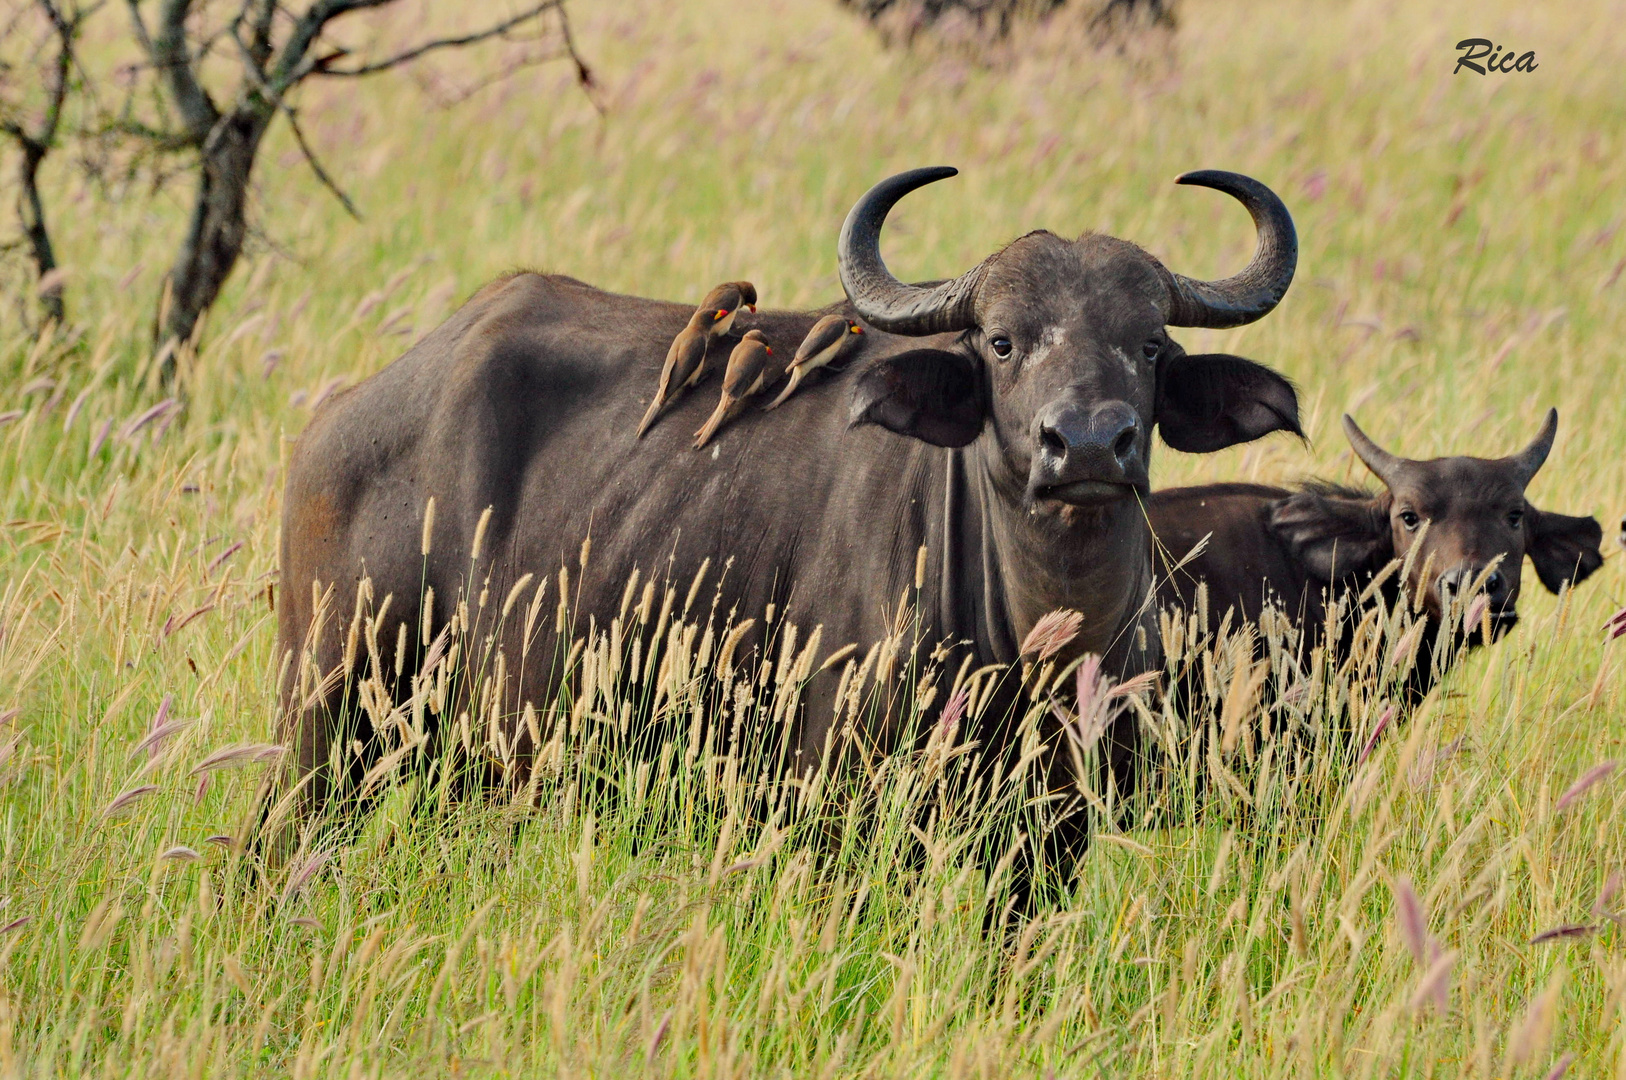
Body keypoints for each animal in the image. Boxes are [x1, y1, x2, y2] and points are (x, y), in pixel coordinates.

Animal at [273, 166, 1300, 858]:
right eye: (1003, 342)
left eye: (1151, 346)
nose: (1086, 445)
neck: (1041, 637)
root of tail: (345, 420)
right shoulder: (834, 803)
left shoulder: (1058, 837)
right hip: (325, 721)